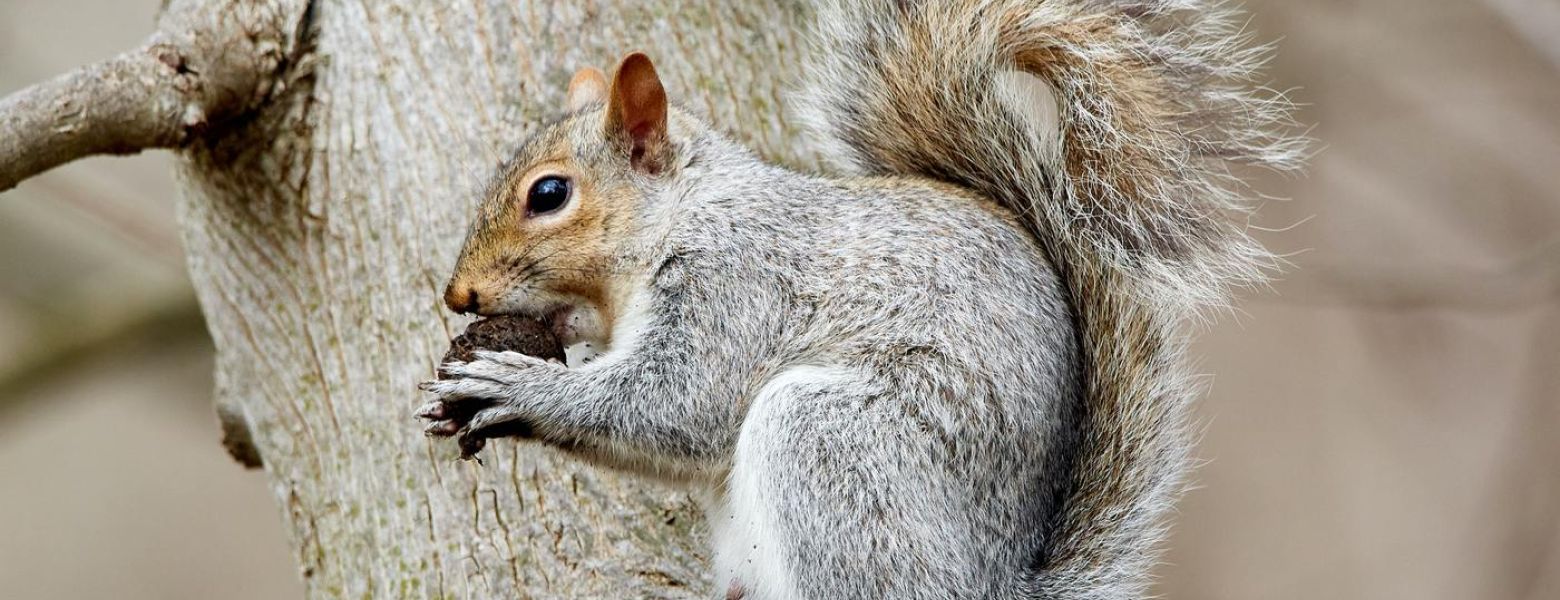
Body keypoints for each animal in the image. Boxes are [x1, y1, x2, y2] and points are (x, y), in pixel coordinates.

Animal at [418, 0, 1302, 598]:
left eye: (550, 194)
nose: (460, 294)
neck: (685, 214)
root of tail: (995, 583)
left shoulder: (737, 284)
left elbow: (677, 407)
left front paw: (515, 385)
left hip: (839, 448)